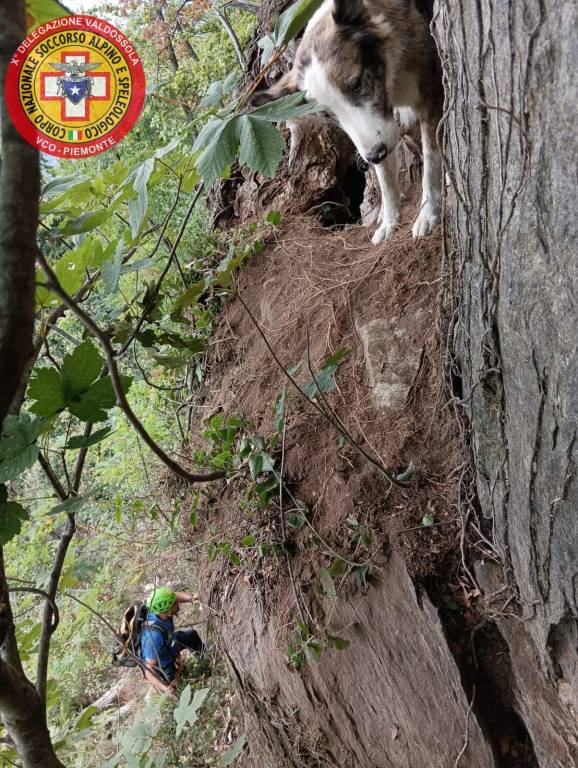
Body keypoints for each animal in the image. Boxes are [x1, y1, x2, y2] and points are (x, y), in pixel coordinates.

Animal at [251, 0, 440, 242]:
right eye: (327, 114)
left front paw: (428, 214)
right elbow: (386, 180)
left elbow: (431, 166)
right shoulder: (381, 131)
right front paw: (389, 222)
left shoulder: (431, 99)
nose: (374, 155)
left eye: (357, 84)